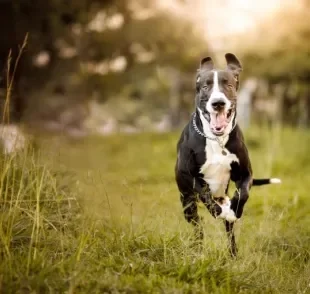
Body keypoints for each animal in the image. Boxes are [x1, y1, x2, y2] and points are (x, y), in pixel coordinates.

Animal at [174, 53, 280, 258]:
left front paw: (234, 209)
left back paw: (233, 254)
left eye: (228, 85)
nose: (218, 103)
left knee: (229, 233)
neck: (217, 140)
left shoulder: (245, 174)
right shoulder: (188, 175)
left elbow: (243, 193)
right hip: (187, 203)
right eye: (205, 86)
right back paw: (199, 249)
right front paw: (219, 210)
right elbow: (204, 193)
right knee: (197, 228)